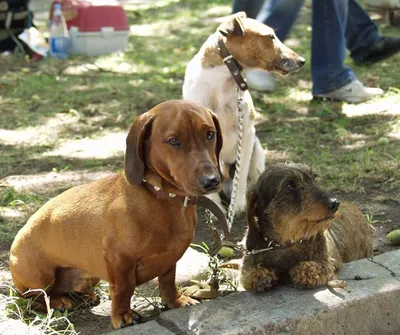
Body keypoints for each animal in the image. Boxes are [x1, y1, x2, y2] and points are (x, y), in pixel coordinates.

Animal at [183, 13, 304, 213]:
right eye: (270, 37)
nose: (302, 61)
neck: (224, 81)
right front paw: (215, 206)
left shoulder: (246, 133)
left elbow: (241, 176)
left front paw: (238, 205)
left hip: (257, 151)